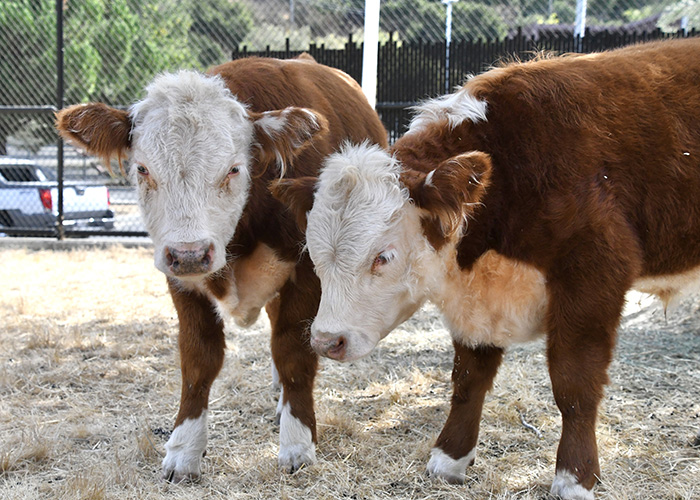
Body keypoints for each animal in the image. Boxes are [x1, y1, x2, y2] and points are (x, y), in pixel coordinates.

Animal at [55, 54, 387, 483]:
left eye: (233, 169)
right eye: (143, 169)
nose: (191, 253)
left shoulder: (307, 274)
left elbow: (294, 355)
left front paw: (297, 443)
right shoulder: (180, 281)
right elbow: (199, 360)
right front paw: (184, 451)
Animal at [272, 38, 700, 499]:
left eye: (382, 256)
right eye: (315, 254)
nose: (325, 340)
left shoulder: (593, 276)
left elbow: (574, 385)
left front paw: (575, 478)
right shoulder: (477, 304)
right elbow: (468, 378)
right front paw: (450, 459)